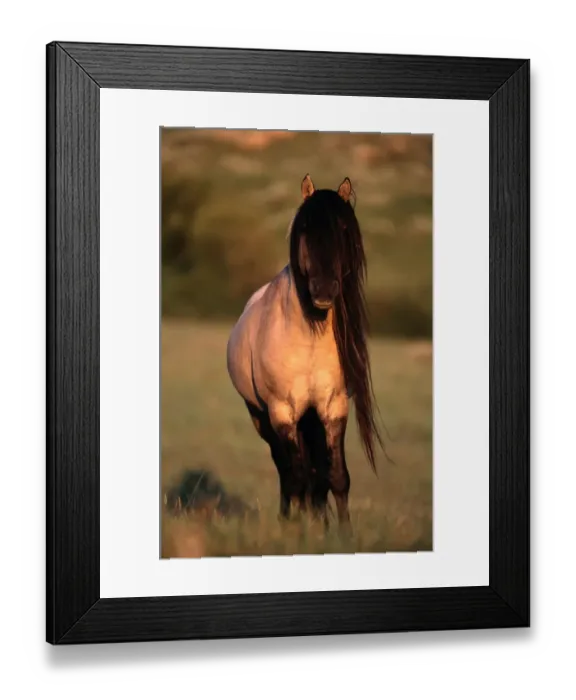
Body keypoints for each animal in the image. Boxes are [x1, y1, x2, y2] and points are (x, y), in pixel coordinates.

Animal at [226, 174, 383, 532]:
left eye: (343, 230)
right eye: (306, 229)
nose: (324, 291)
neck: (309, 339)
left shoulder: (334, 408)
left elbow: (336, 477)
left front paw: (341, 535)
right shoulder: (282, 412)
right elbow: (296, 477)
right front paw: (295, 534)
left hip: (310, 418)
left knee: (314, 475)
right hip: (263, 419)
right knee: (288, 472)